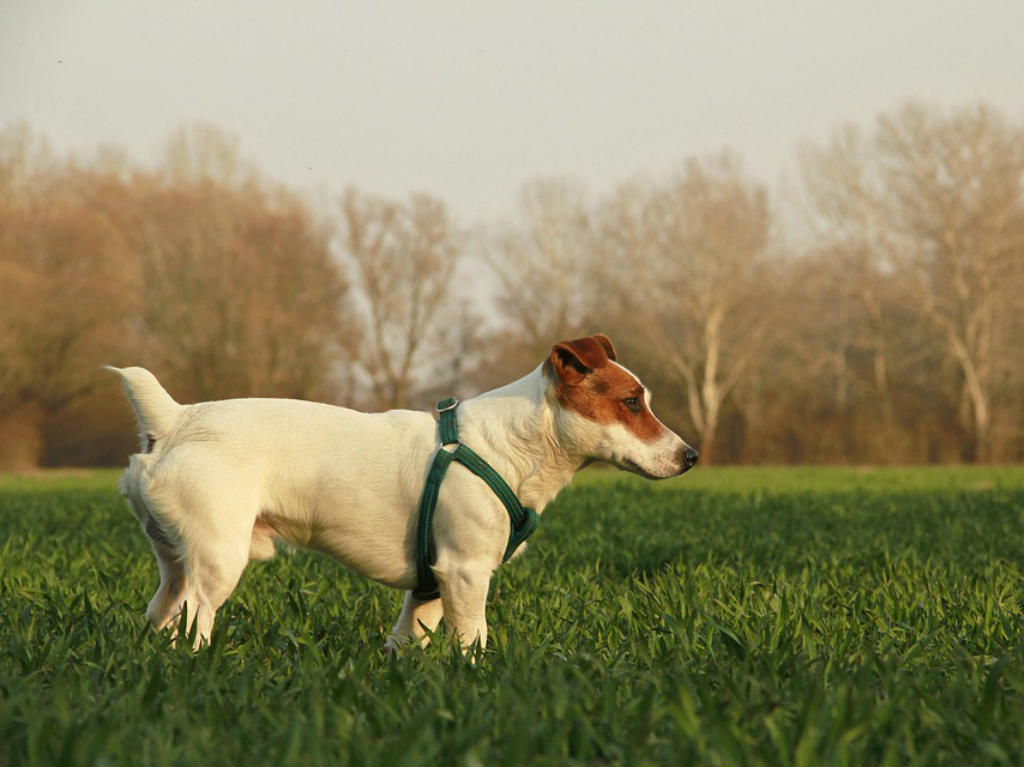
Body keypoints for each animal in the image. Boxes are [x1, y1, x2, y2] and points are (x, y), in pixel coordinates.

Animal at [110, 331, 696, 651]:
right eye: (631, 403)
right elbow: (473, 641)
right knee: (194, 621)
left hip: (175, 561)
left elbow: (405, 641)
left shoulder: (430, 586)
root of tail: (177, 419)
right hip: (218, 560)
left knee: (160, 615)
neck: (510, 446)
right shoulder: (466, 572)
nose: (690, 455)